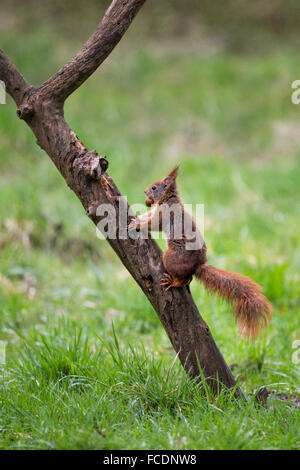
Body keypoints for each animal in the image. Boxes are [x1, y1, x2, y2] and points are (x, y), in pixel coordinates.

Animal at [129, 167, 272, 340]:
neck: (168, 200)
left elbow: (152, 224)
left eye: (154, 187)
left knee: (186, 278)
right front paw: (136, 219)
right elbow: (147, 216)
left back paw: (174, 282)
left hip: (169, 258)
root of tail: (197, 266)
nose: (145, 191)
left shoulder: (164, 215)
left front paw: (137, 225)